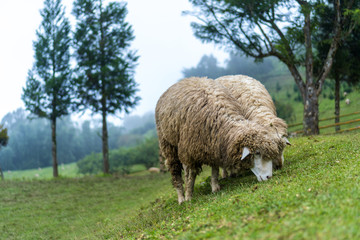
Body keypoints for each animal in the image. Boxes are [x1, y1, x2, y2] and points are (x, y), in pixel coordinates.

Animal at [156, 76, 286, 202]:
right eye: (257, 153)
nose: (269, 176)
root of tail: (177, 83)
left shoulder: (214, 143)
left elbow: (214, 169)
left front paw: (215, 187)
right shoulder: (188, 151)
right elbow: (190, 175)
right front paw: (189, 196)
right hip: (168, 144)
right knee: (175, 171)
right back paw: (181, 198)